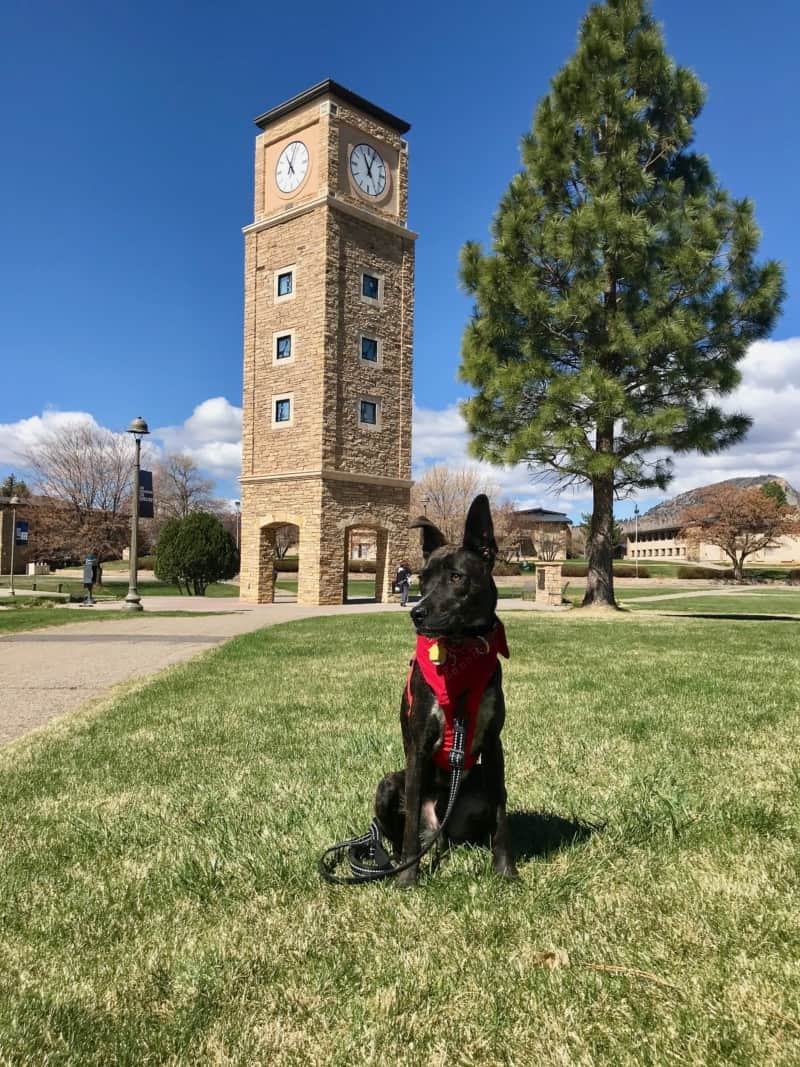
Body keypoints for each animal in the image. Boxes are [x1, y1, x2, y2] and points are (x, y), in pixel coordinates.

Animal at [375, 495, 520, 887]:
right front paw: (407, 880)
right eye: (422, 579)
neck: (461, 652)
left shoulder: (494, 744)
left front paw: (506, 870)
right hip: (388, 784)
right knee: (400, 832)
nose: (417, 613)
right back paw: (396, 861)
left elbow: (502, 815)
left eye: (457, 577)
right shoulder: (419, 743)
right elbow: (409, 820)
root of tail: (439, 831)